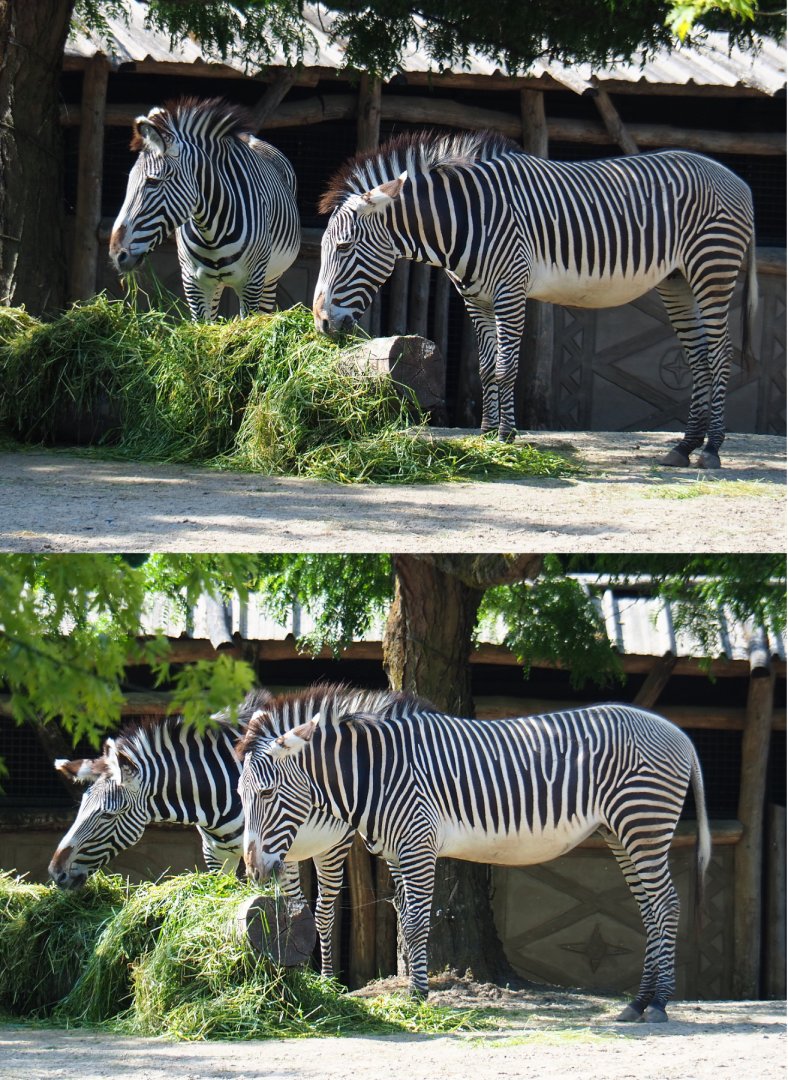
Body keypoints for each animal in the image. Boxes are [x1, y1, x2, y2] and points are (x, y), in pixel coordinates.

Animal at [47, 693, 355, 977]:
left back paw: (326, 980)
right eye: (80, 807)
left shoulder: (260, 852)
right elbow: (223, 898)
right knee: (298, 903)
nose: (56, 872)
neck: (216, 793)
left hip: (332, 847)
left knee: (322, 911)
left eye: (108, 815)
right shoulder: (216, 853)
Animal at [109, 97, 300, 320]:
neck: (212, 231)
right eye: (129, 181)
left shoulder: (251, 282)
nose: (116, 254)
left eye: (153, 182)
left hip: (270, 277)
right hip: (215, 285)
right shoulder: (194, 283)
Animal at [237, 686, 711, 1022]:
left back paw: (660, 1003)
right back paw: (638, 1002)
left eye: (268, 793)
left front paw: (418, 997)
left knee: (667, 905)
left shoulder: (417, 844)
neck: (378, 775)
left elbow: (416, 922)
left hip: (643, 823)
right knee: (650, 909)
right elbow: (405, 923)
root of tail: (678, 733)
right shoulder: (396, 852)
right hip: (621, 831)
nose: (255, 870)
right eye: (240, 795)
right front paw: (413, 991)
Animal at [313, 131, 756, 468]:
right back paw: (684, 446)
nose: (321, 323)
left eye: (345, 248)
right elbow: (487, 366)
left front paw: (505, 435)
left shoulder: (510, 290)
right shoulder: (476, 300)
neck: (465, 220)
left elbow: (506, 366)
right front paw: (487, 433)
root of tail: (734, 177)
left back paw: (712, 449)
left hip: (712, 269)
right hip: (677, 281)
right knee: (698, 357)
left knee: (719, 356)